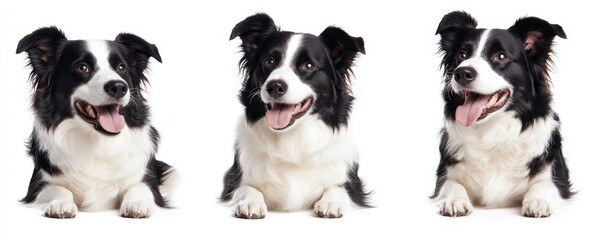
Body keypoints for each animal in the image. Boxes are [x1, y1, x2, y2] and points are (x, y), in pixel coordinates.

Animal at [16, 27, 178, 218]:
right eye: (82, 67)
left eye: (121, 67)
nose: (119, 87)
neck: (99, 142)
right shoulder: (37, 186)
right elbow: (59, 188)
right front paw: (61, 204)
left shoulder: (148, 181)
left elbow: (139, 187)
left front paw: (136, 204)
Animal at [222, 13, 370, 219]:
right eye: (269, 61)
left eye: (308, 65)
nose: (274, 86)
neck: (291, 139)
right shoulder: (233, 180)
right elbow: (247, 188)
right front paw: (250, 203)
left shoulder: (354, 186)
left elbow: (338, 188)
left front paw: (330, 202)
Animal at [434, 11, 572, 218]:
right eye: (462, 55)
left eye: (501, 56)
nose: (462, 73)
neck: (492, 133)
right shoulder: (444, 177)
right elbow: (452, 185)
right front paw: (454, 200)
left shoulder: (558, 180)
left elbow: (542, 184)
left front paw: (537, 201)